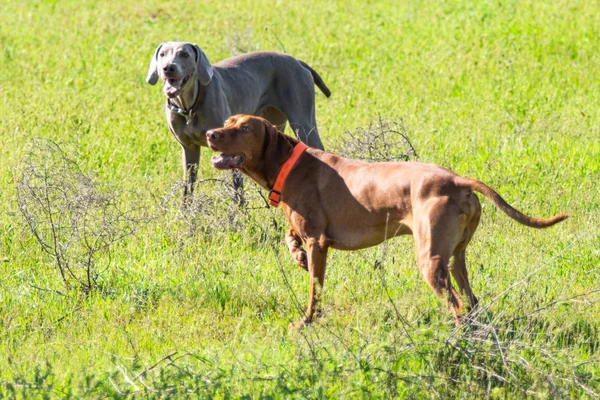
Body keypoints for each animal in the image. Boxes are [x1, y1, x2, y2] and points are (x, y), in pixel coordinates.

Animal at [147, 42, 330, 202]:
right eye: (162, 54)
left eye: (184, 54)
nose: (168, 68)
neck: (189, 107)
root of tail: (298, 61)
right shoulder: (189, 149)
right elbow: (187, 188)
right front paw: (185, 215)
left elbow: (237, 187)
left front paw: (240, 214)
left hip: (303, 122)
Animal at [206, 114, 568, 326]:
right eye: (228, 120)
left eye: (245, 128)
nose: (210, 133)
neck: (289, 164)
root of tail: (457, 180)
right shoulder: (308, 236)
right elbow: (290, 238)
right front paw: (295, 255)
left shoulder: (319, 243)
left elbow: (314, 290)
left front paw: (307, 322)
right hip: (455, 259)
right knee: (471, 301)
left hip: (430, 260)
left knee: (457, 306)